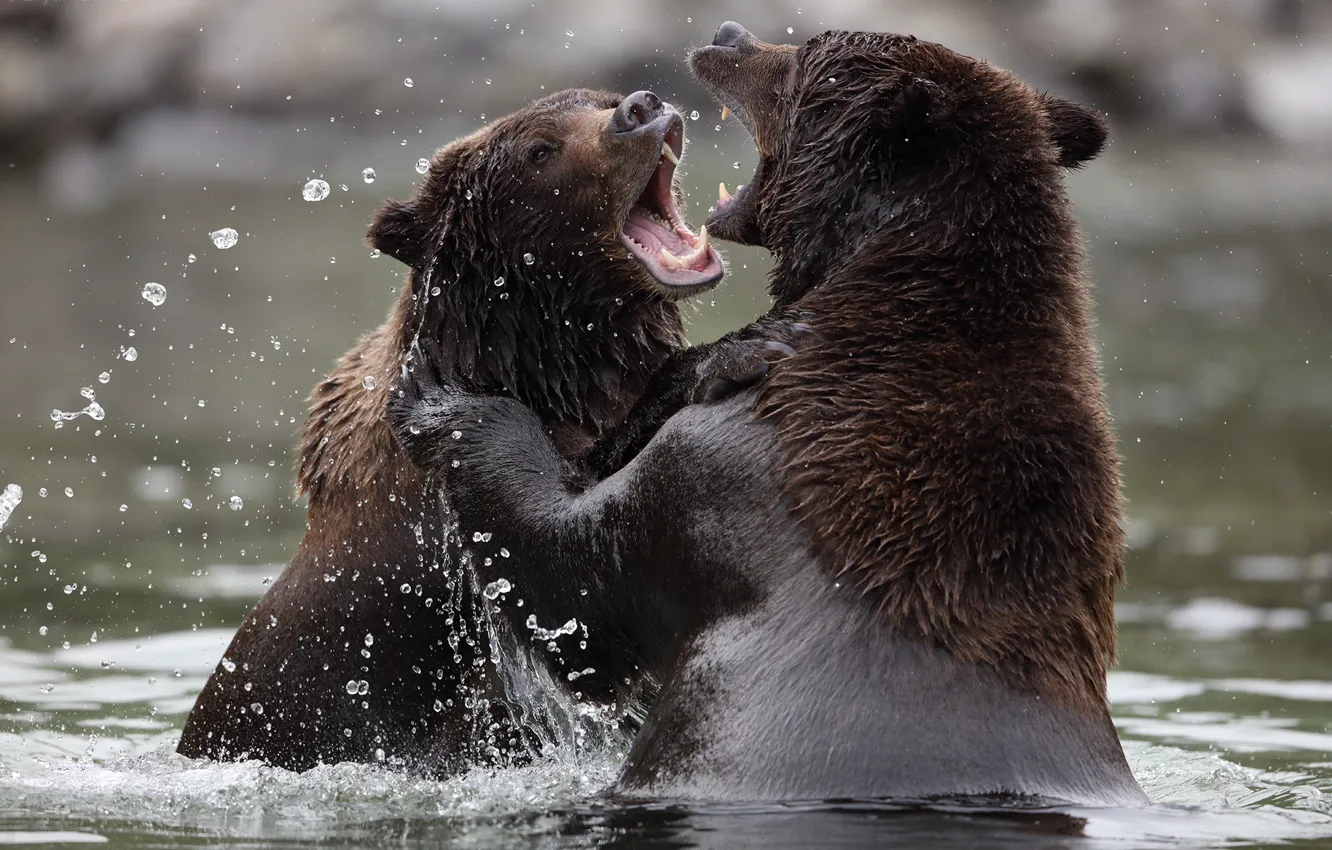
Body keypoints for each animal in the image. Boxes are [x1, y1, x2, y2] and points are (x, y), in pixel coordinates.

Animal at [176, 87, 723, 775]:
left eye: (595, 99)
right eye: (539, 149)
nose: (640, 108)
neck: (541, 367)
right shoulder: (440, 541)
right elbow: (578, 599)